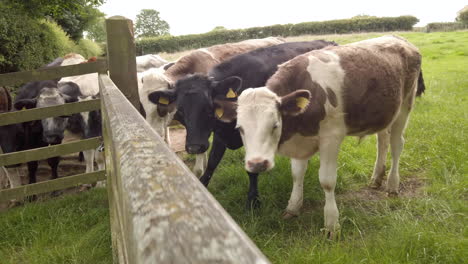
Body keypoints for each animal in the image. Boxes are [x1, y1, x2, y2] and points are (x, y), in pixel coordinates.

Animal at [219, 35, 424, 235]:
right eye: (240, 128)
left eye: (275, 125)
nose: (257, 164)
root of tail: (400, 39)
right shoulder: (301, 139)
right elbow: (297, 174)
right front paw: (293, 207)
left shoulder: (331, 137)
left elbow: (327, 180)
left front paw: (332, 224)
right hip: (385, 112)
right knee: (382, 141)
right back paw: (376, 178)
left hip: (405, 106)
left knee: (397, 144)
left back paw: (392, 185)